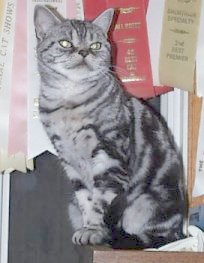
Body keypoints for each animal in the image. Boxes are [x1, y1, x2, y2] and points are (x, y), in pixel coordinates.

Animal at [34, 5, 186, 250]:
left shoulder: (109, 156)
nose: (84, 52)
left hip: (146, 204)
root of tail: (179, 231)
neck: (68, 102)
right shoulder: (70, 161)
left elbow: (101, 201)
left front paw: (95, 231)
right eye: (65, 43)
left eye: (96, 45)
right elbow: (87, 201)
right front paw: (89, 228)